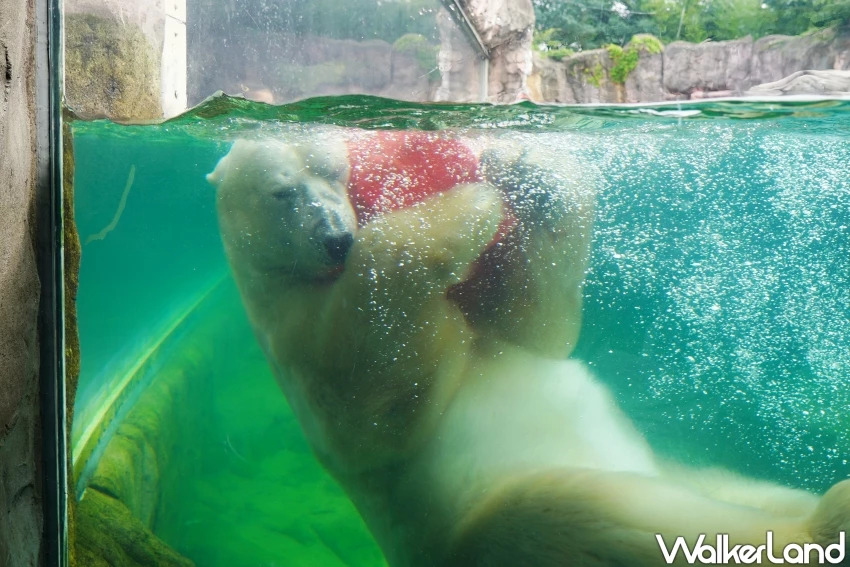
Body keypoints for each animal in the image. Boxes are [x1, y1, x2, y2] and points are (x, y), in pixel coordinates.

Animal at [208, 130, 850, 566]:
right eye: (282, 191)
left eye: (336, 171)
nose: (336, 236)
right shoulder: (288, 335)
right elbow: (364, 409)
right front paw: (464, 210)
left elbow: (534, 327)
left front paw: (526, 166)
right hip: (485, 525)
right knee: (583, 517)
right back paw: (824, 522)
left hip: (686, 474)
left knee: (742, 490)